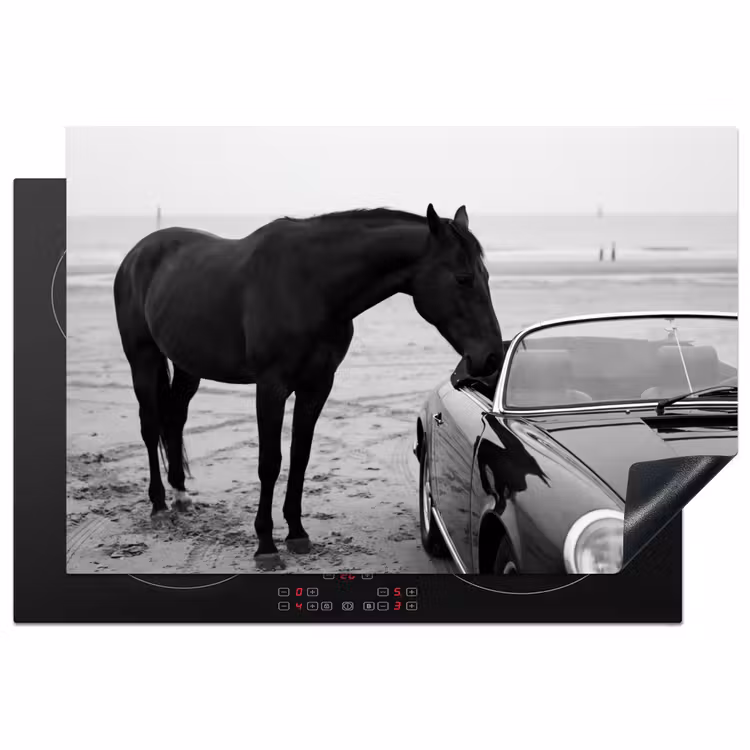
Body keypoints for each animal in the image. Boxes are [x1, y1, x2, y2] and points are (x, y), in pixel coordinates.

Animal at [113, 204, 504, 569]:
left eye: (486, 275)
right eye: (463, 278)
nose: (491, 357)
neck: (310, 285)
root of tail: (137, 253)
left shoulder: (316, 386)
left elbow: (300, 456)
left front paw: (297, 534)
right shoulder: (270, 387)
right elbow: (270, 463)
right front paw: (266, 546)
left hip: (187, 365)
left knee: (175, 418)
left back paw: (180, 494)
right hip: (142, 359)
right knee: (150, 426)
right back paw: (159, 505)